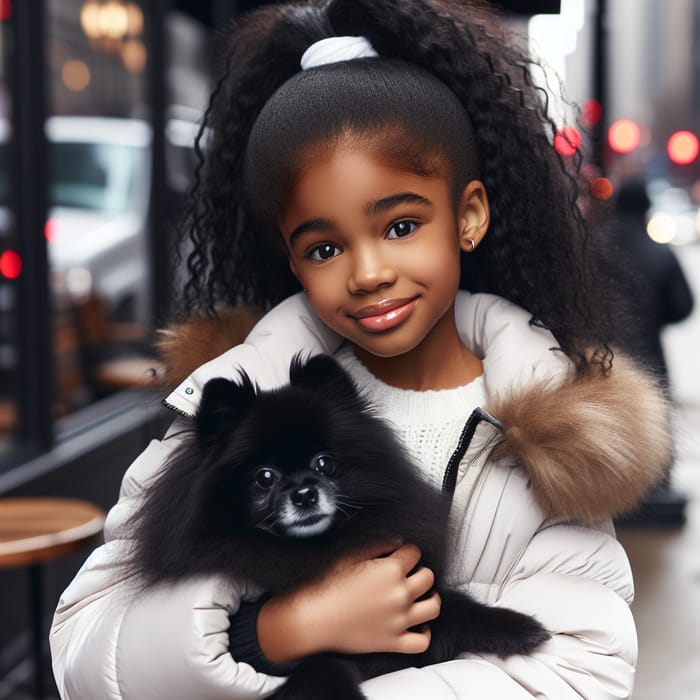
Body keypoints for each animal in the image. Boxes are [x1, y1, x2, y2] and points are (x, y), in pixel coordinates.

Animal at [129, 356, 548, 700]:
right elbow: (321, 668)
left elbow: (456, 606)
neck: (320, 550)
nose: (304, 493)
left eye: (324, 464)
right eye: (264, 477)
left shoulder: (420, 600)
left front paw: (517, 626)